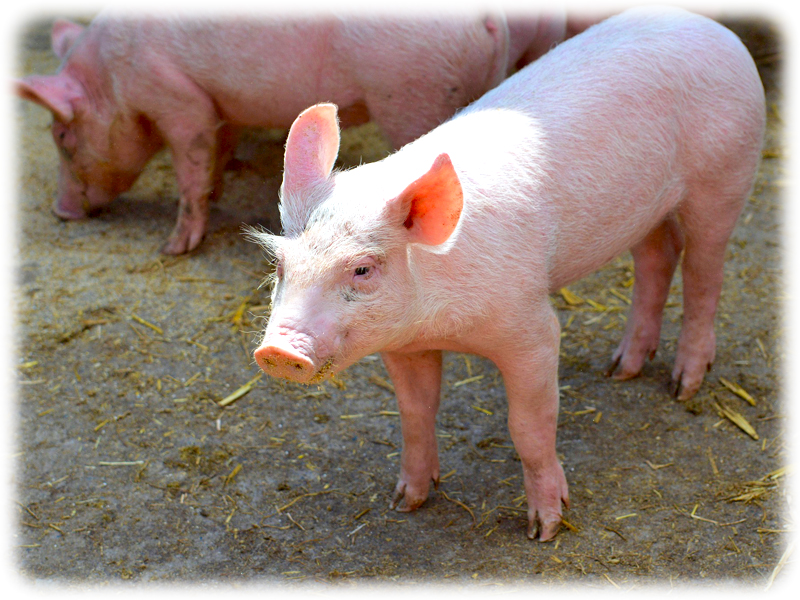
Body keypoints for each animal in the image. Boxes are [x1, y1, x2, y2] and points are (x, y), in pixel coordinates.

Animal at [15, 13, 509, 254]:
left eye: (61, 135)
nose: (61, 212)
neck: (111, 80)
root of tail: (489, 20)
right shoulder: (220, 105)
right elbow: (218, 150)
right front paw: (217, 190)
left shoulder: (179, 100)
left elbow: (190, 167)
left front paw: (172, 249)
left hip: (411, 95)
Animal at [249, 7, 765, 541]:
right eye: (282, 265)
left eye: (362, 268)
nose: (278, 351)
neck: (440, 324)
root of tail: (706, 26)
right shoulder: (402, 345)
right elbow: (415, 412)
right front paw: (406, 501)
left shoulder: (531, 327)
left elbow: (528, 425)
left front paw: (546, 529)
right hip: (644, 210)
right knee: (658, 256)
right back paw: (621, 368)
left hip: (726, 174)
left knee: (705, 271)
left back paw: (683, 386)